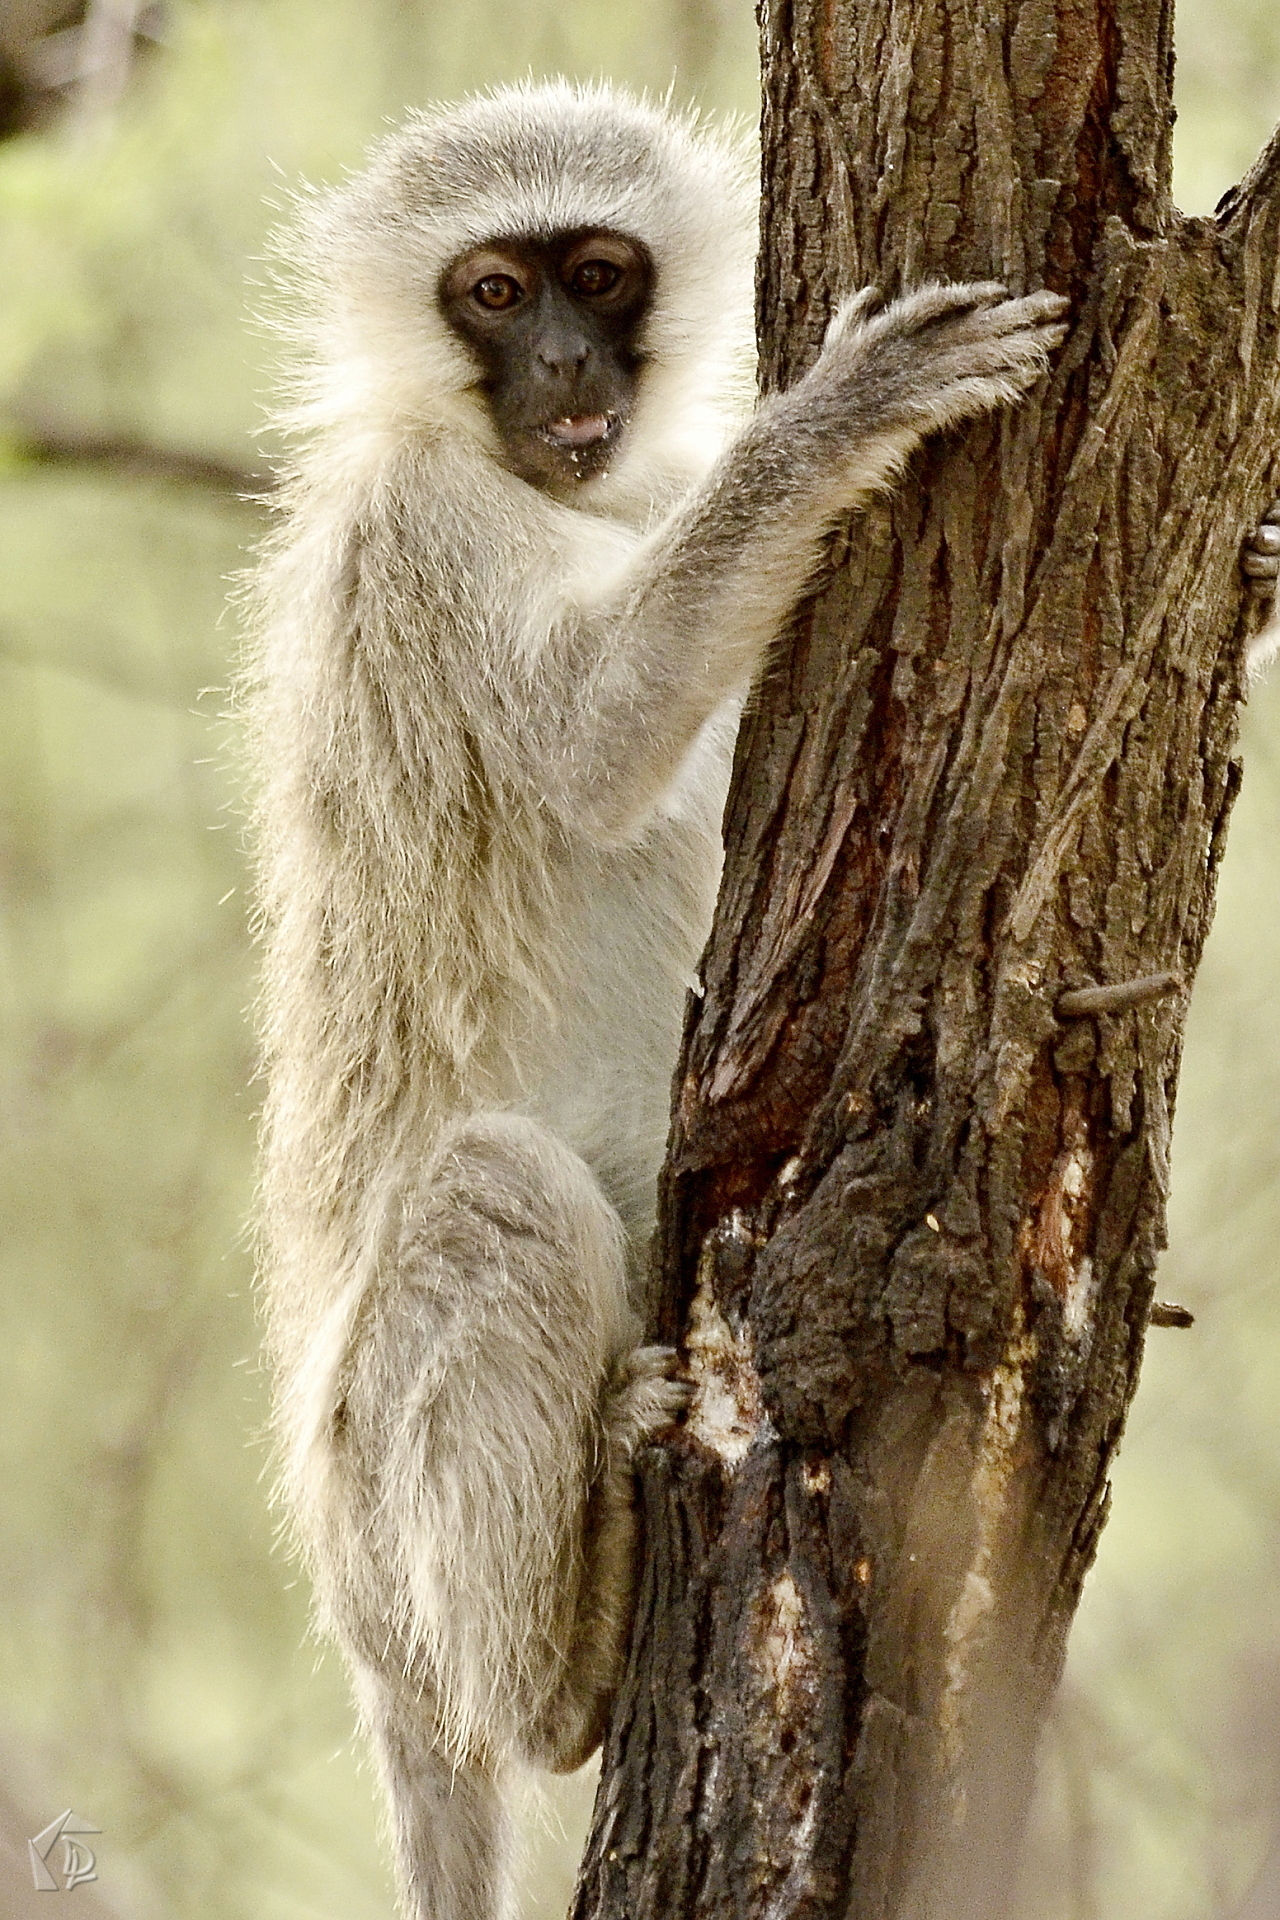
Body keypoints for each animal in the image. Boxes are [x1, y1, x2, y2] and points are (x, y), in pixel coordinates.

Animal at [242, 79, 1074, 1920]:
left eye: (600, 272)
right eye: (495, 292)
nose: (564, 364)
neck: (558, 491)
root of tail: (355, 1608)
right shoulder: (418, 530)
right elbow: (591, 745)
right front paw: (831, 421)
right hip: (377, 1481)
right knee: (494, 1191)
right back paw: (562, 1666)